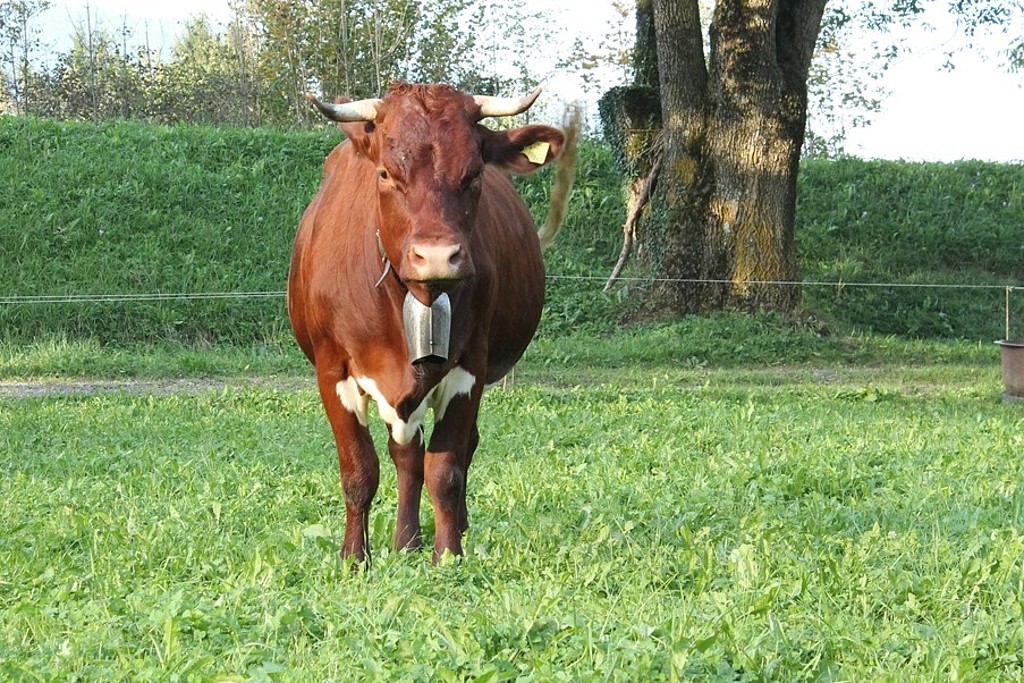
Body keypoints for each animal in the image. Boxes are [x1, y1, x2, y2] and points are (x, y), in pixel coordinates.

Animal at [286, 82, 577, 565]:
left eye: (474, 174)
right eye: (386, 174)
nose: (438, 256)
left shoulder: (469, 368)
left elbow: (446, 468)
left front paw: (448, 554)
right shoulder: (332, 369)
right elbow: (359, 470)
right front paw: (355, 558)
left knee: (453, 449)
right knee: (405, 453)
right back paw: (406, 540)